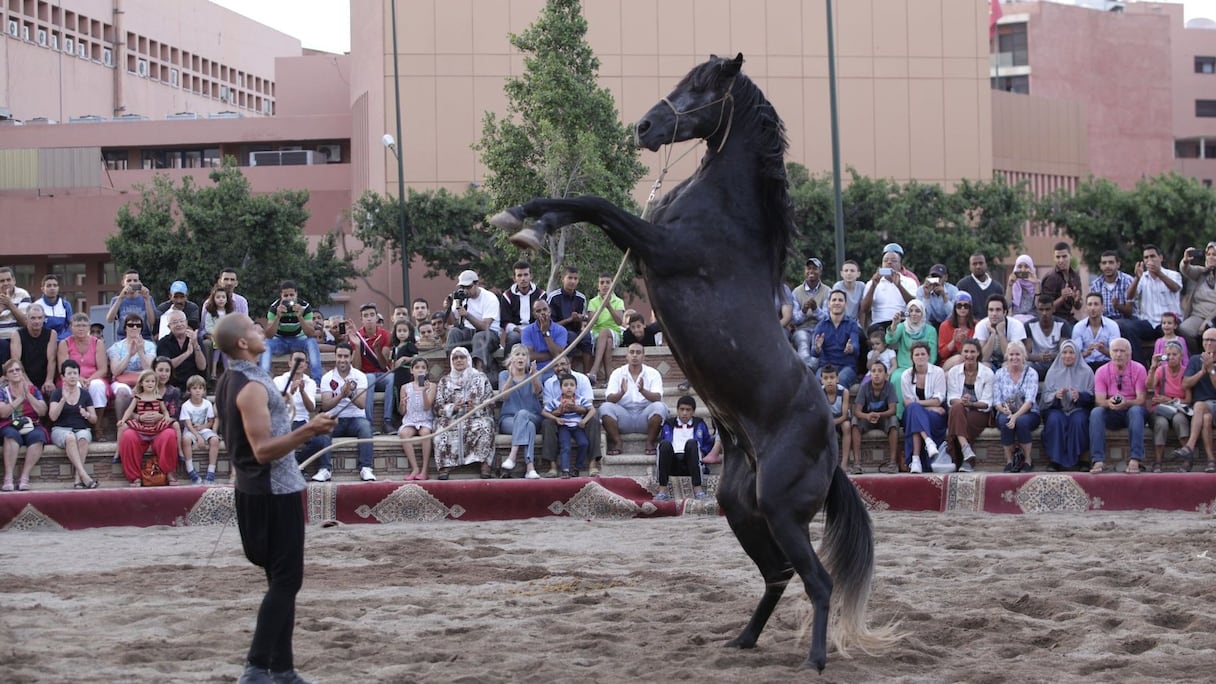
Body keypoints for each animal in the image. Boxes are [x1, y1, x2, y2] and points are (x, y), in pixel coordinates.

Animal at [488, 52, 899, 666]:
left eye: (703, 87)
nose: (644, 128)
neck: (726, 211)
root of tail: (831, 451)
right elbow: (585, 206)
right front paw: (522, 218)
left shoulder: (660, 249)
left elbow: (594, 204)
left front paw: (527, 224)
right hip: (743, 508)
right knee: (778, 575)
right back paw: (743, 639)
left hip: (781, 509)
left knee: (817, 581)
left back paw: (815, 658)